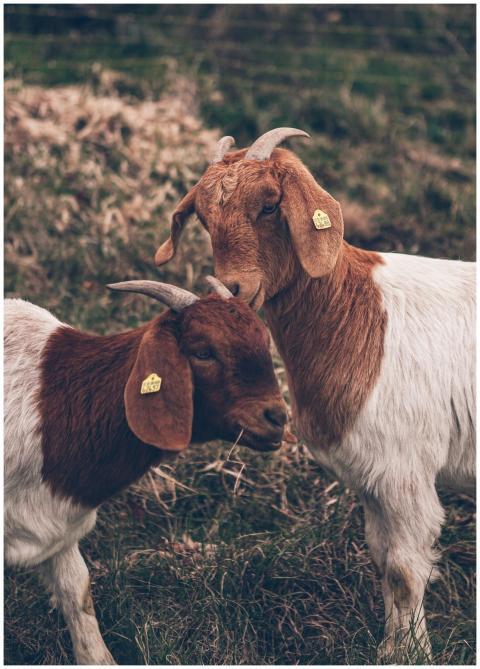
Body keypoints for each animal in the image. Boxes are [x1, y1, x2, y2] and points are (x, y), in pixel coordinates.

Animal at [4, 277, 288, 665]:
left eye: (264, 341)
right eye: (203, 352)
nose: (278, 418)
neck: (53, 407)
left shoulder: (55, 527)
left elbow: (77, 592)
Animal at [155, 128, 476, 659]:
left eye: (270, 206)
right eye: (202, 218)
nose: (234, 290)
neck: (357, 315)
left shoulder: (405, 474)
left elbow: (404, 571)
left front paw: (410, 655)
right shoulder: (373, 479)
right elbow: (382, 559)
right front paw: (390, 648)